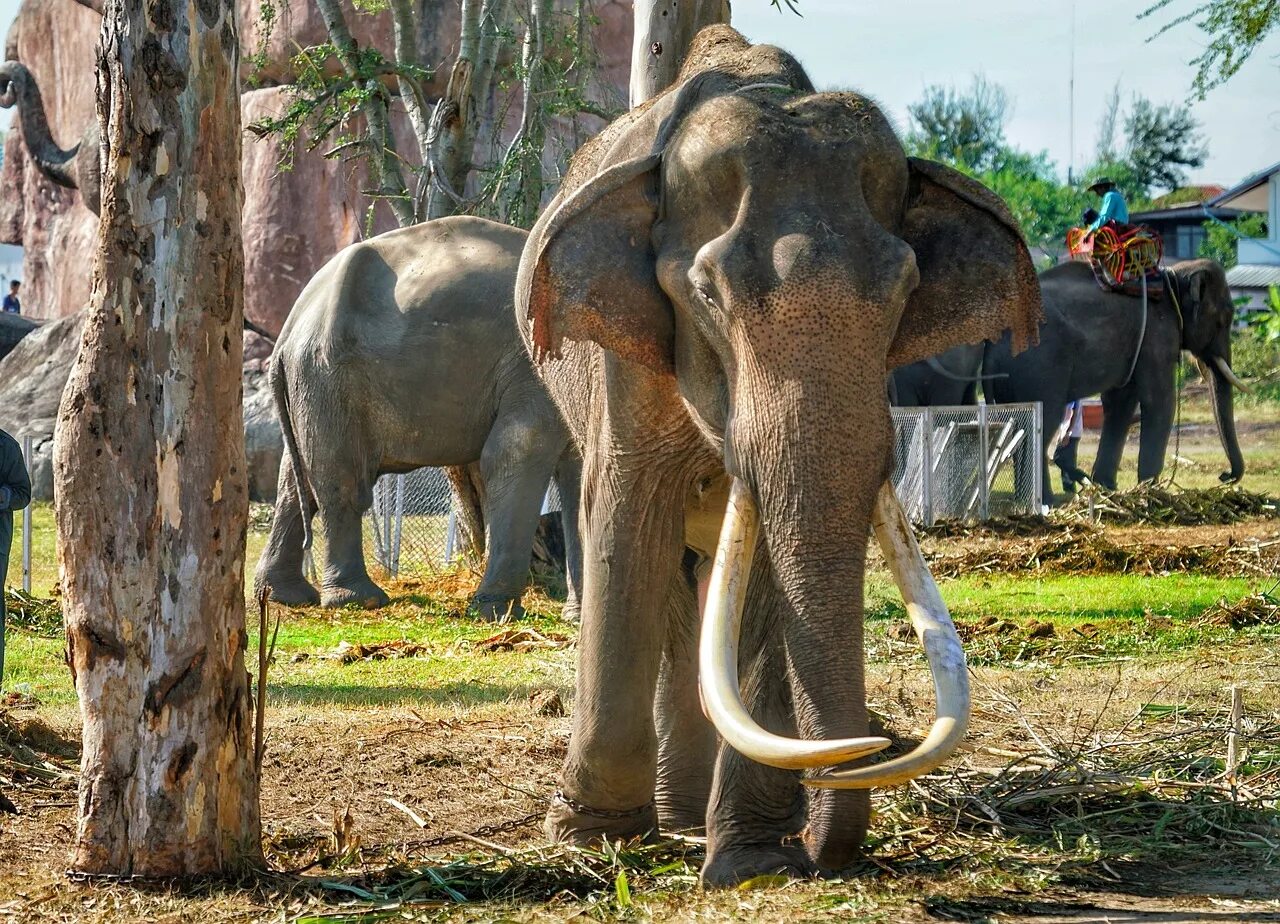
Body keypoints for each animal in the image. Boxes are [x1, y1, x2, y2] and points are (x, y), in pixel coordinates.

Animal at [254, 216, 586, 619]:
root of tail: (288, 329)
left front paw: (577, 617)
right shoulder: (536, 363)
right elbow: (517, 452)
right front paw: (494, 612)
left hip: (311, 383)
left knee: (294, 477)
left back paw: (282, 595)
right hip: (327, 376)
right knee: (340, 480)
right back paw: (358, 600)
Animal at [509, 25, 1039, 880]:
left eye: (904, 293)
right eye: (708, 294)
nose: (823, 850)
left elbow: (760, 572)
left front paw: (753, 858)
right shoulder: (625, 364)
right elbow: (627, 522)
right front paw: (593, 838)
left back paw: (706, 817)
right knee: (672, 583)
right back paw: (669, 819)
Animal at [983, 255, 1244, 499]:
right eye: (1224, 319)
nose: (1224, 476)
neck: (1173, 276)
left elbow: (1121, 403)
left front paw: (1106, 487)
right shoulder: (1157, 335)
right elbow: (1159, 402)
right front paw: (1150, 490)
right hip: (1040, 366)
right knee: (1045, 420)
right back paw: (1050, 501)